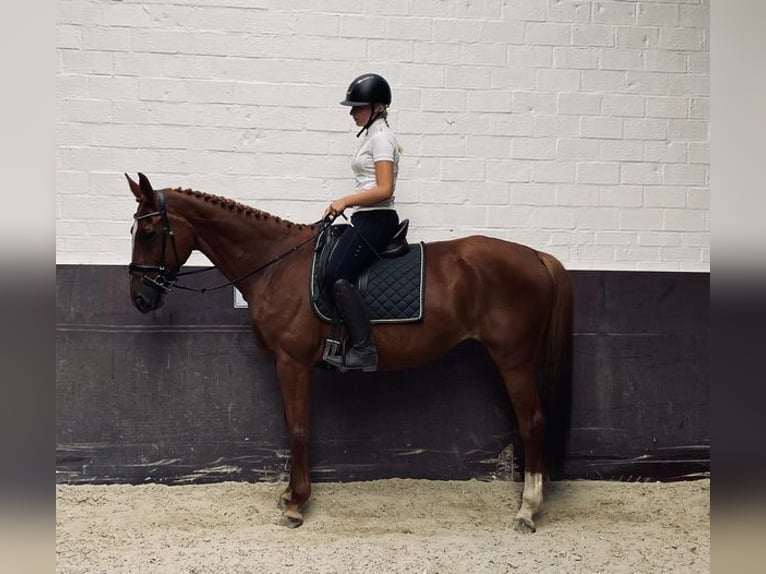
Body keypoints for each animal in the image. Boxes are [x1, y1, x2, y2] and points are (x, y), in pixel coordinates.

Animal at [126, 173, 572, 532]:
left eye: (148, 233)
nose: (140, 299)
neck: (275, 265)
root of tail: (536, 256)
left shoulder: (293, 364)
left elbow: (298, 429)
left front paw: (296, 505)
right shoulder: (288, 366)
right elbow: (292, 427)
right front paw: (289, 495)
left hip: (514, 359)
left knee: (532, 422)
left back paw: (527, 510)